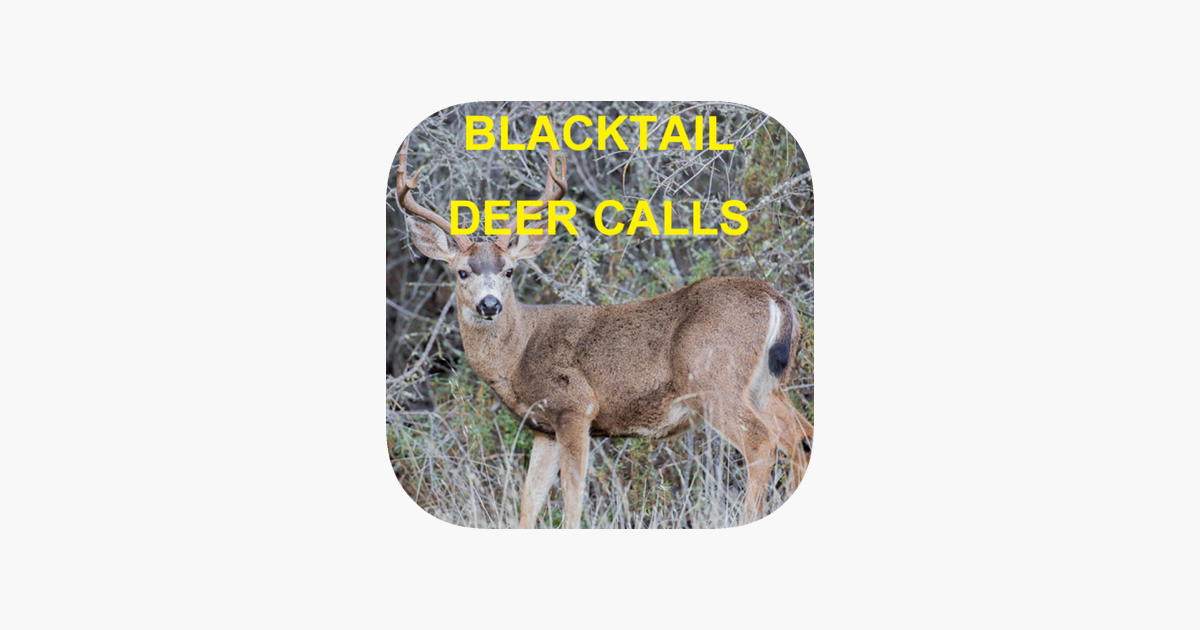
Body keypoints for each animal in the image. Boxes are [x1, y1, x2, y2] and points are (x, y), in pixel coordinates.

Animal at [394, 139, 813, 528]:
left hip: (713, 378)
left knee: (763, 442)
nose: (490, 304)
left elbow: (573, 497)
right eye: (462, 271)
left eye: (509, 270)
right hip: (767, 384)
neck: (517, 358)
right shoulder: (543, 427)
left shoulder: (575, 407)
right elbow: (528, 503)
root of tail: (777, 300)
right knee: (800, 436)